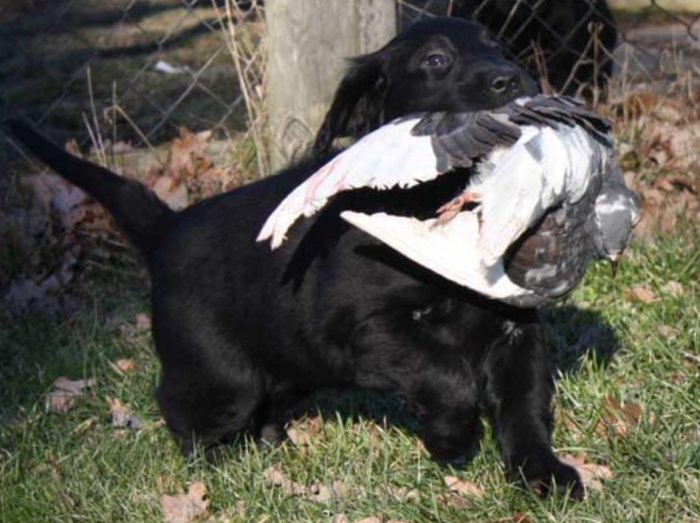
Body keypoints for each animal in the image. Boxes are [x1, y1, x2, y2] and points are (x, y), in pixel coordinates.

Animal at [8, 17, 584, 500]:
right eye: (436, 60)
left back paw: (272, 445)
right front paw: (450, 438)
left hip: (290, 366)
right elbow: (448, 375)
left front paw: (544, 475)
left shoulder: (514, 330)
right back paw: (214, 466)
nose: (513, 78)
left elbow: (525, 409)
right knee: (181, 406)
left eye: (499, 45)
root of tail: (169, 229)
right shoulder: (367, 324)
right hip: (221, 375)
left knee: (265, 404)